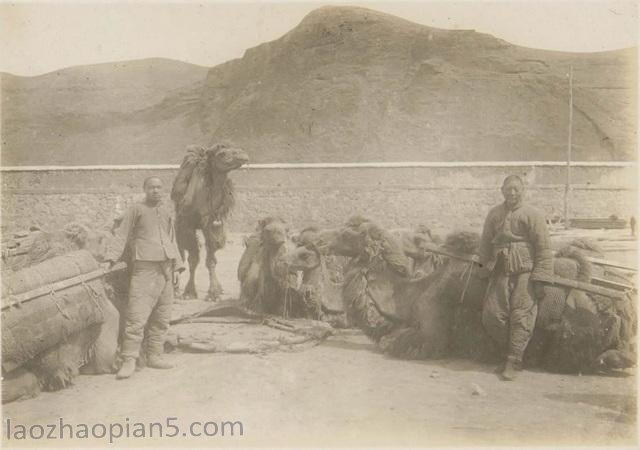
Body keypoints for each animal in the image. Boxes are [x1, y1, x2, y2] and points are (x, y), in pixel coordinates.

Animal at [171, 142, 249, 300]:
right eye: (222, 154)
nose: (243, 155)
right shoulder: (188, 226)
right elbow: (193, 259)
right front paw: (189, 292)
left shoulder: (212, 225)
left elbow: (211, 260)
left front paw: (214, 292)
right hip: (178, 225)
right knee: (181, 253)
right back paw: (175, 289)